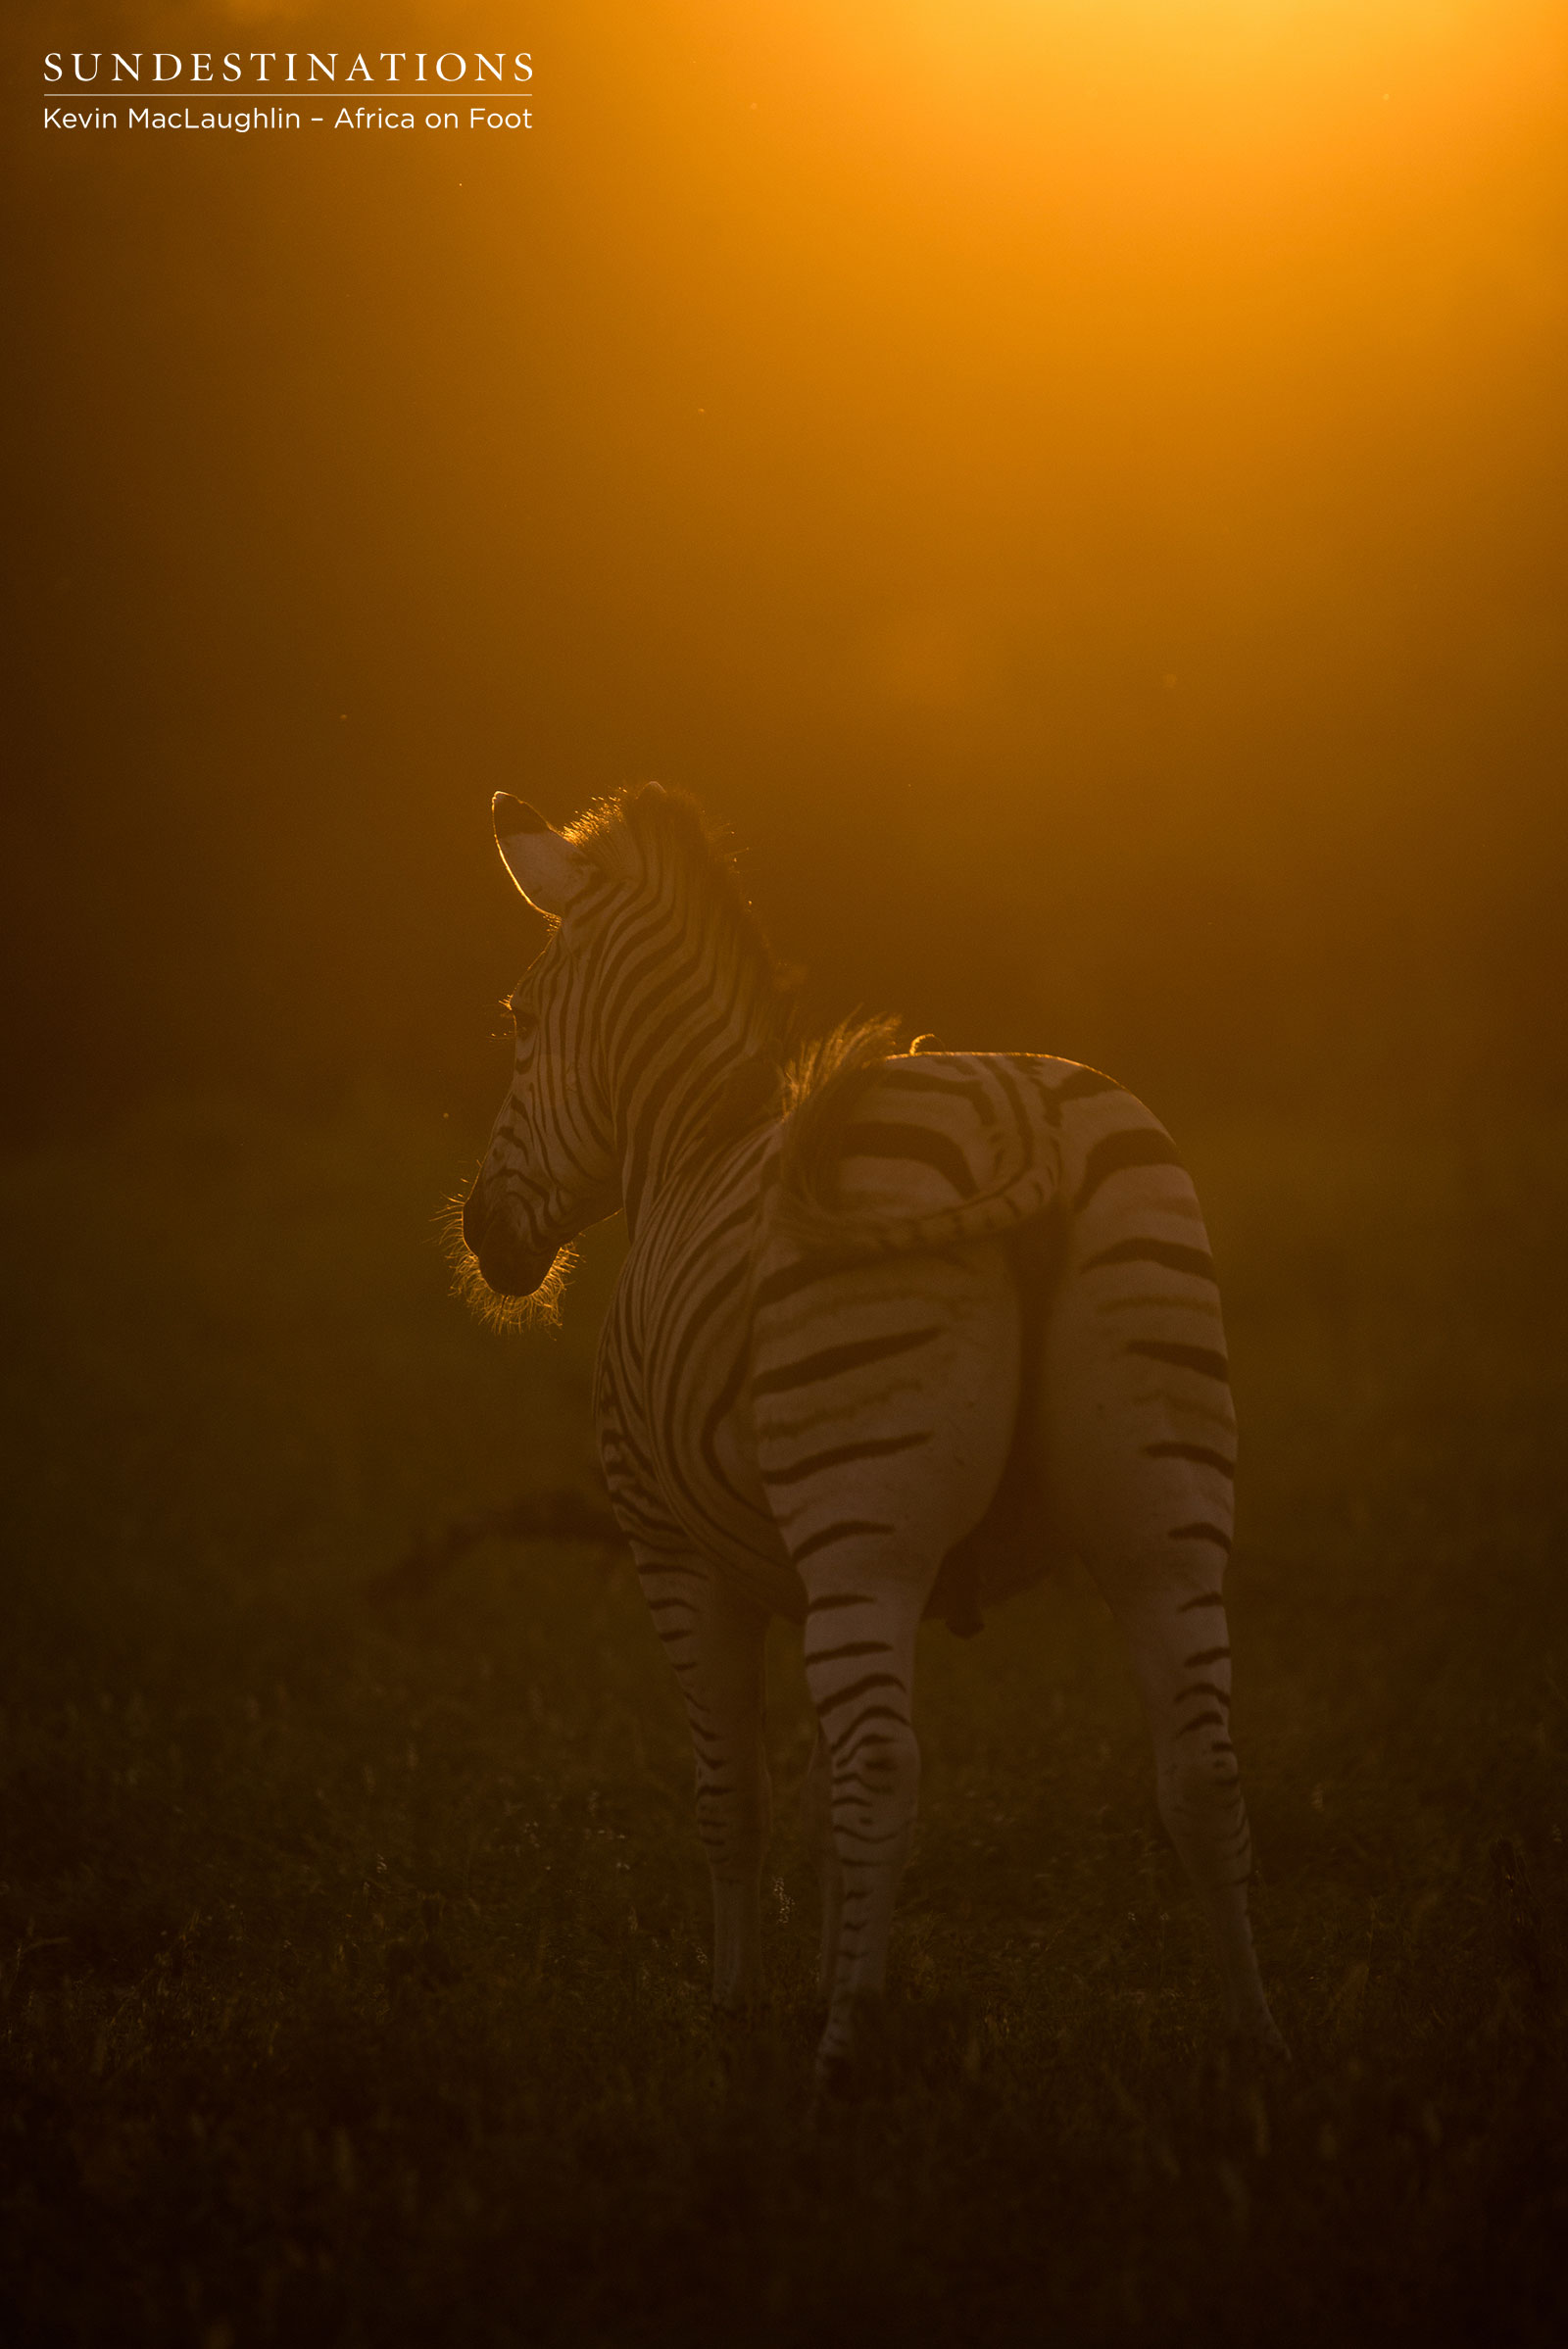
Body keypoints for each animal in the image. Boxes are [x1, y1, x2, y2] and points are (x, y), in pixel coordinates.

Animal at [460, 782, 1284, 2082]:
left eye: (516, 1020)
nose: (482, 1236)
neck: (692, 1135)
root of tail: (1019, 1110)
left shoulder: (676, 1555)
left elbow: (736, 1796)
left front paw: (740, 2005)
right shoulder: (797, 1572)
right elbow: (813, 1809)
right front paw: (826, 1974)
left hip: (865, 1525)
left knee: (883, 1769)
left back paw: (841, 2056)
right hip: (1162, 1506)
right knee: (1200, 1768)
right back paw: (1251, 2038)